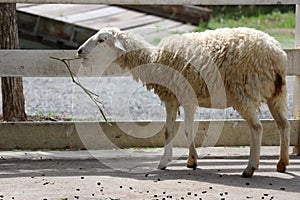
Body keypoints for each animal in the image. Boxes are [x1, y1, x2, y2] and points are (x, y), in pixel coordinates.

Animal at [78, 26, 290, 177]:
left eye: (101, 40)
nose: (79, 51)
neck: (152, 59)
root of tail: (276, 55)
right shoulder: (187, 98)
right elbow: (189, 128)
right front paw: (192, 161)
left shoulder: (171, 97)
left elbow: (168, 130)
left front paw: (164, 162)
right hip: (277, 94)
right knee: (284, 124)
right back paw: (282, 163)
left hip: (244, 91)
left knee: (257, 128)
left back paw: (250, 168)